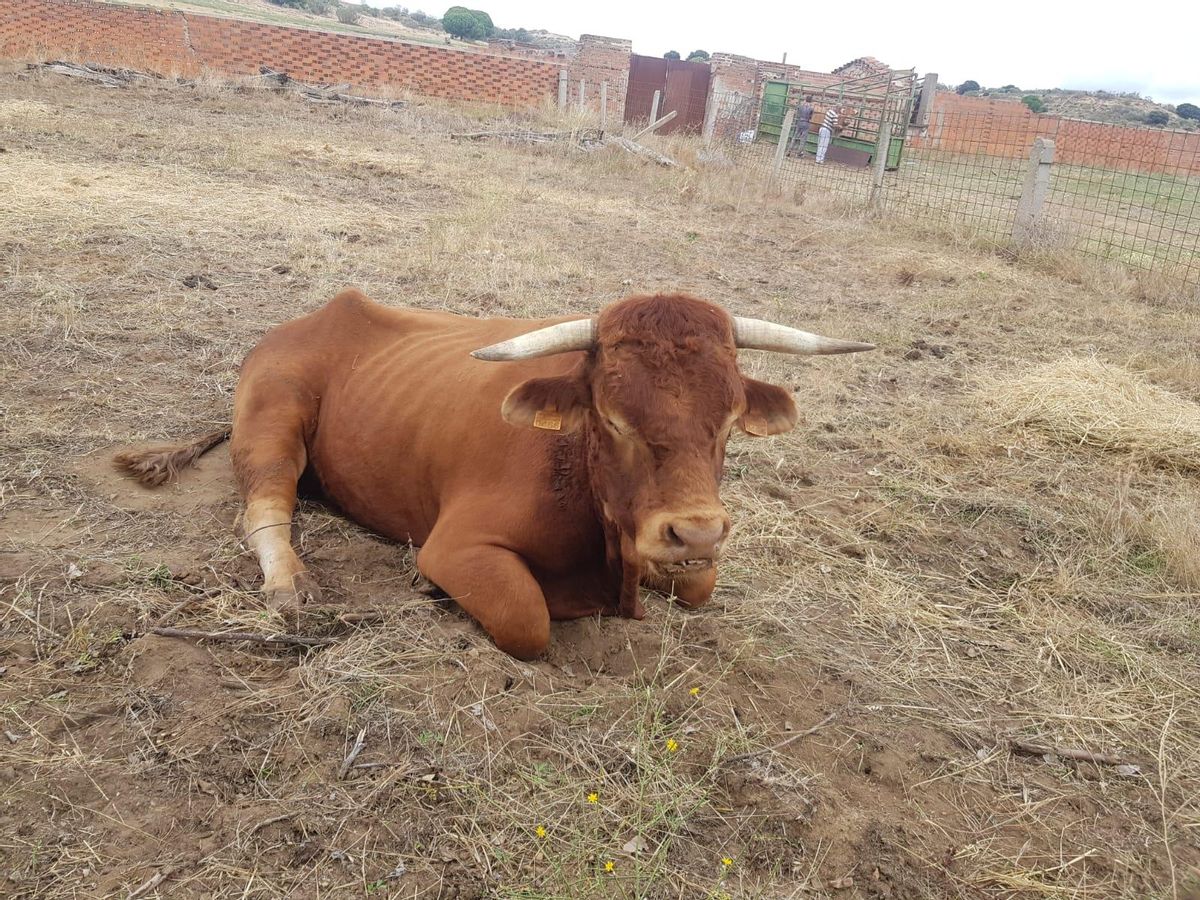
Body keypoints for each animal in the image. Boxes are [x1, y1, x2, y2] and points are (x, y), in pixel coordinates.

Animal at [114, 292, 873, 657]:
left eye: (728, 422)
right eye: (612, 419)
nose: (696, 532)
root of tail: (313, 317)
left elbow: (700, 586)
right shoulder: (458, 547)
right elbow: (527, 618)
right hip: (274, 417)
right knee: (264, 505)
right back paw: (287, 582)